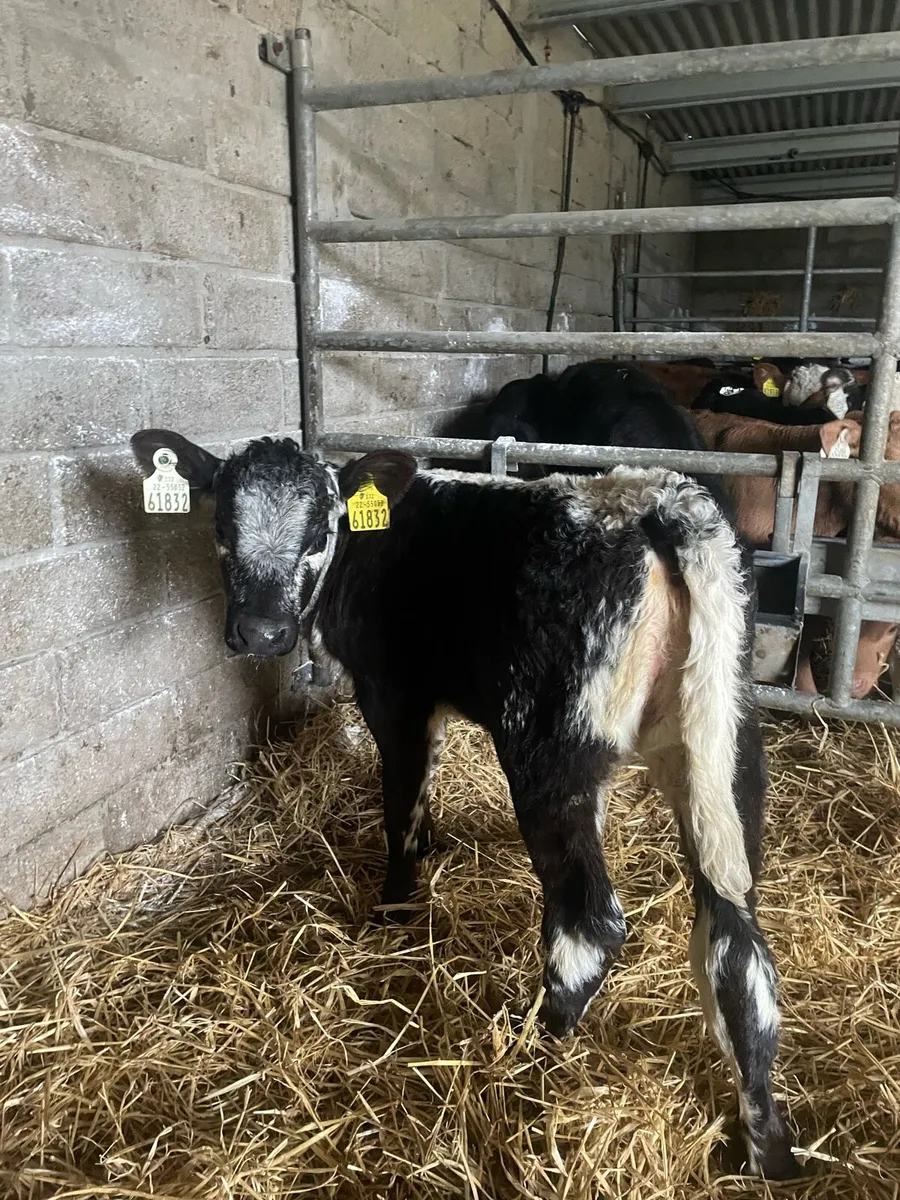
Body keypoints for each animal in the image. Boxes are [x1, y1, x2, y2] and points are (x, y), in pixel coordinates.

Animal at [132, 427, 799, 1180]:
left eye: (320, 530)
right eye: (221, 525)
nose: (263, 632)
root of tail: (654, 500)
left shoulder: (394, 695)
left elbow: (401, 801)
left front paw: (394, 906)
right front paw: (431, 850)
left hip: (548, 747)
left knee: (590, 922)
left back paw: (530, 1049)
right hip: (722, 749)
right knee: (736, 943)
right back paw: (765, 1146)